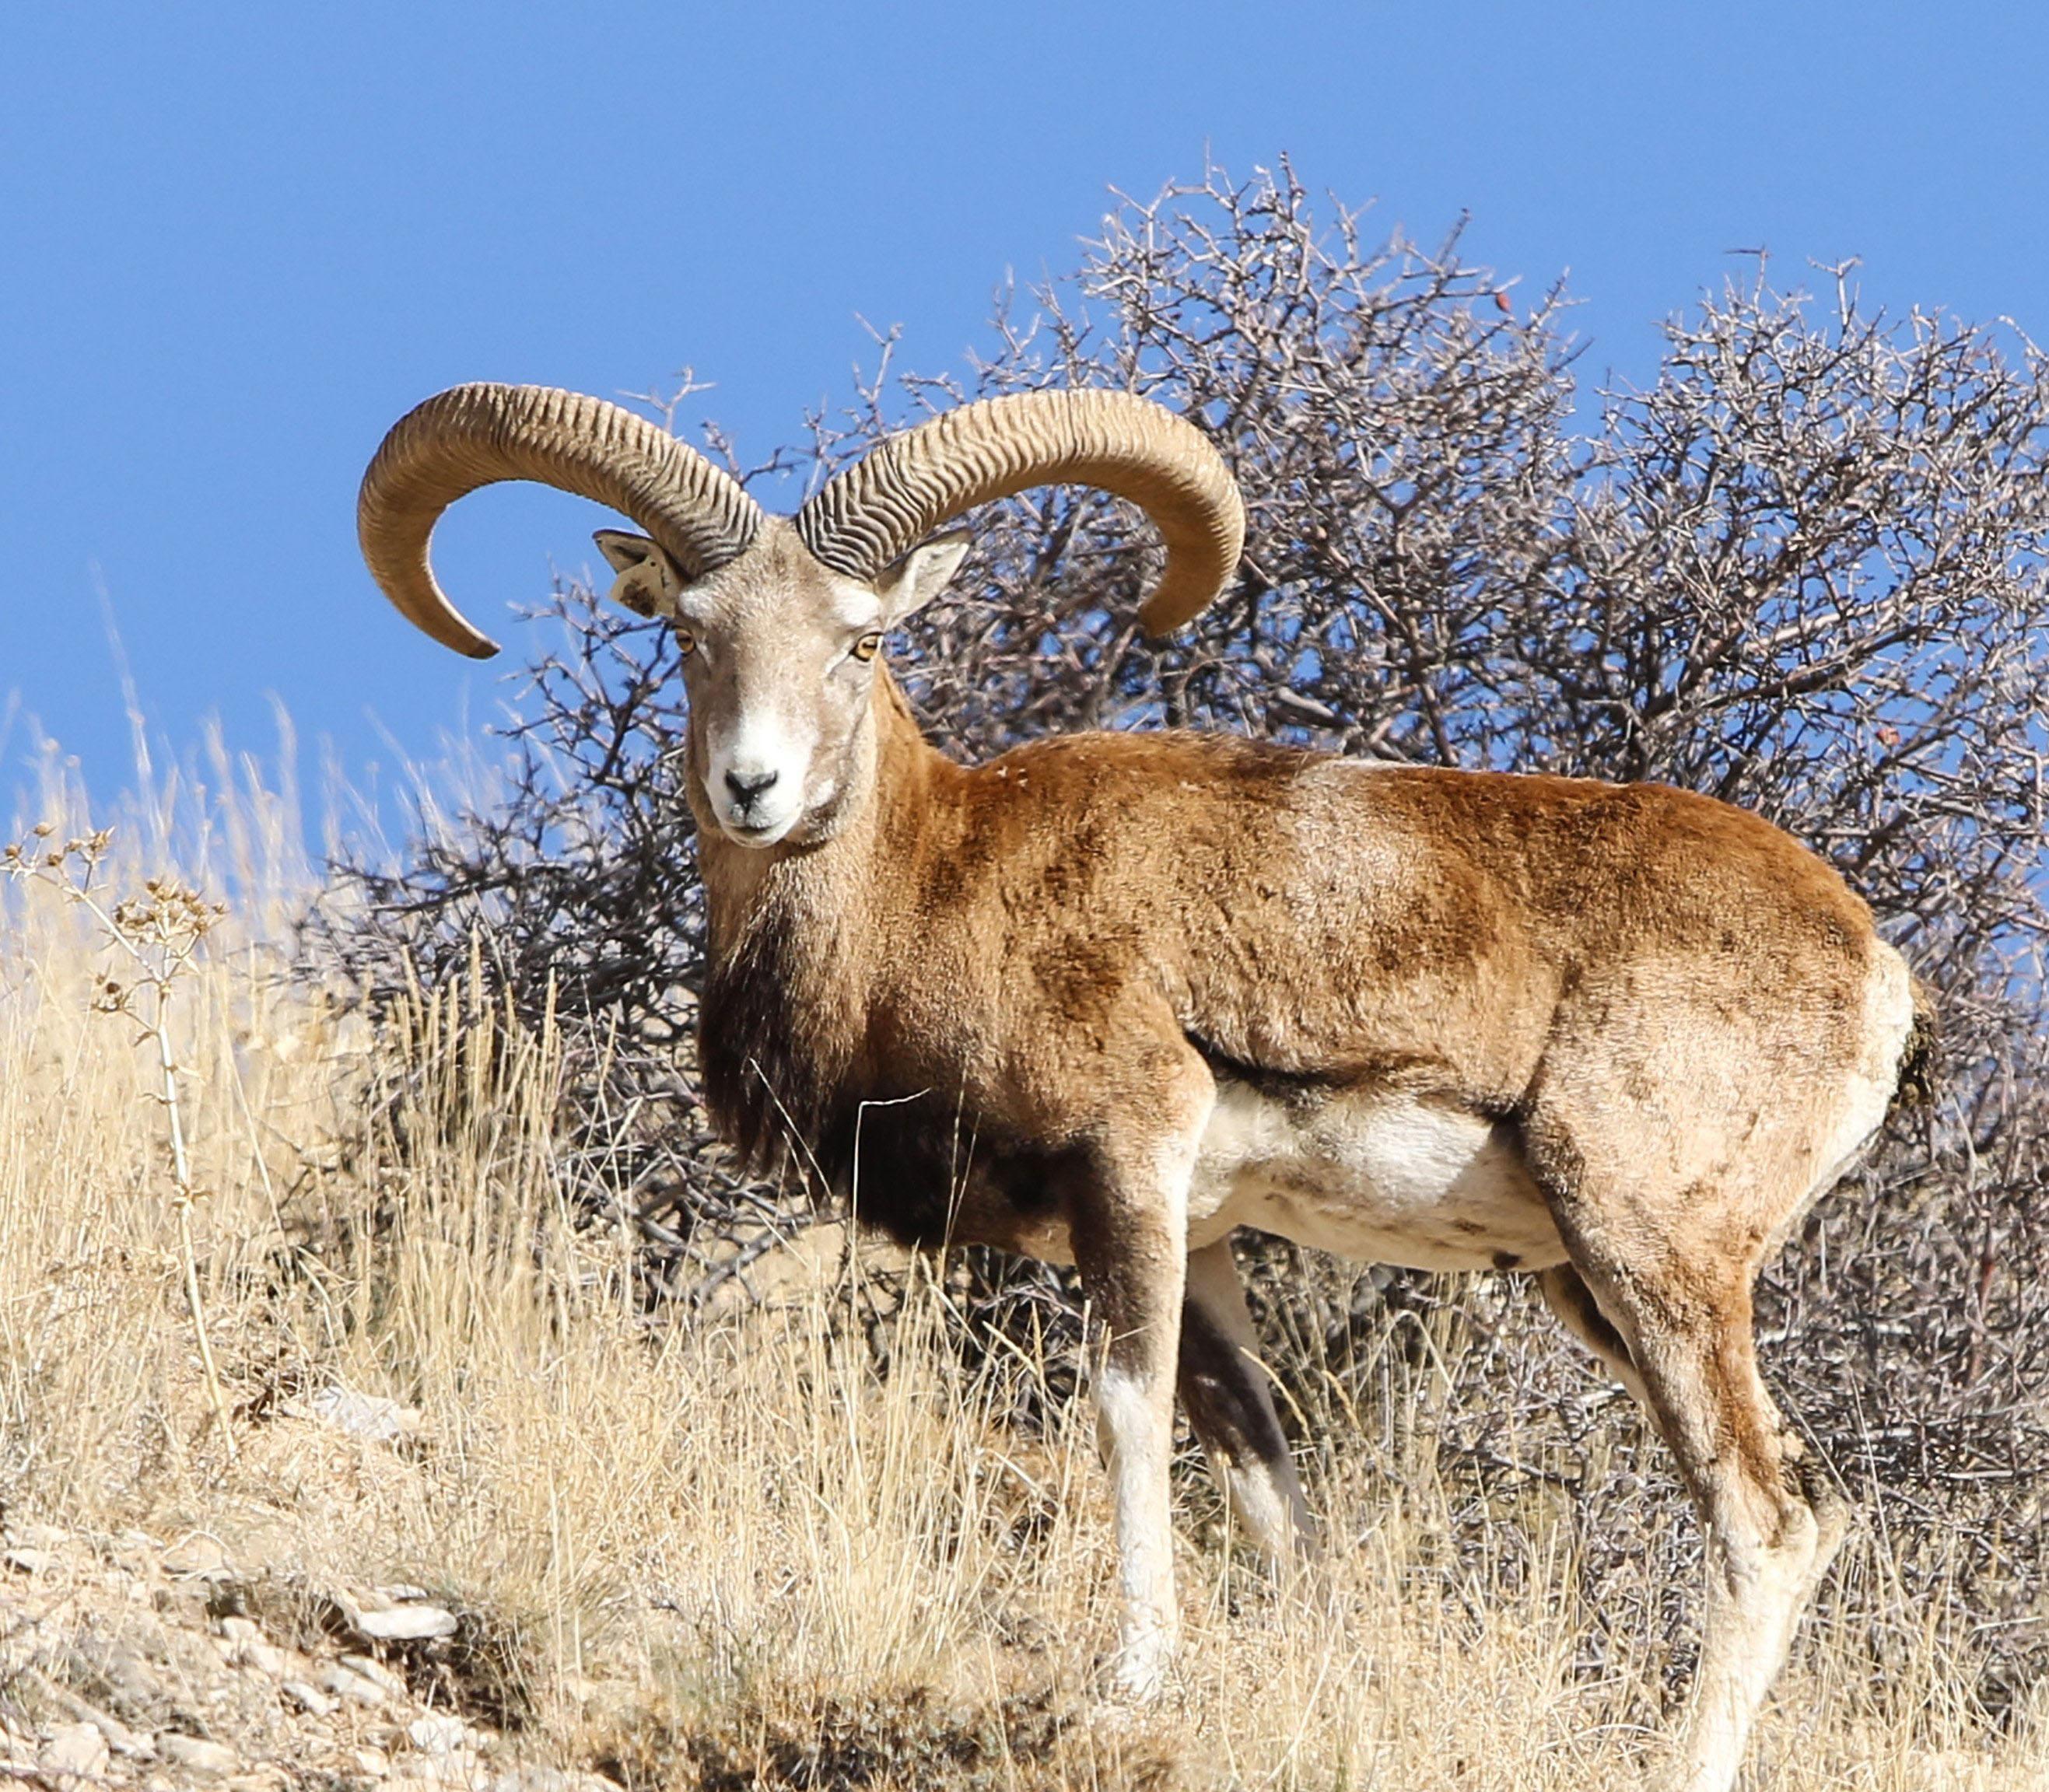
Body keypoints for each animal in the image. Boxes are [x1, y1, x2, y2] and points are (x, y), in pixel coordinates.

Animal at [356, 385, 1934, 1792]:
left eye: (861, 643)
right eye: (689, 634)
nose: (755, 788)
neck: (936, 888)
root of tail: (1874, 971)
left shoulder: (1127, 1176)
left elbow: (1123, 1415)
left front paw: (1130, 1679)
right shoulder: (1213, 1233)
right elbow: (1258, 1472)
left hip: (1650, 1255)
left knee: (1761, 1522)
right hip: (1589, 1284)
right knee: (1807, 1507)